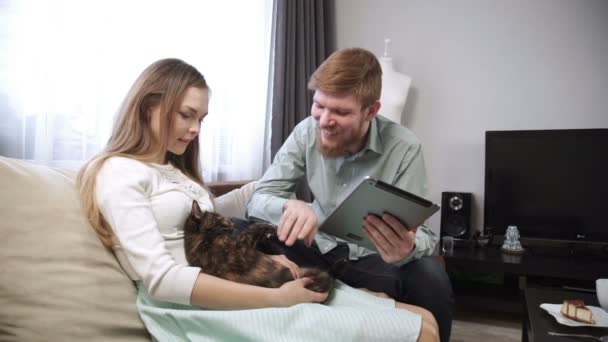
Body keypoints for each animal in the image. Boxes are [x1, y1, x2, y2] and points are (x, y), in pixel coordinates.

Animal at [185, 202, 338, 292]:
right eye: (220, 218)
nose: (231, 222)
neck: (200, 240)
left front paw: (270, 235)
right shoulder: (241, 244)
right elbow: (253, 228)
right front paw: (271, 226)